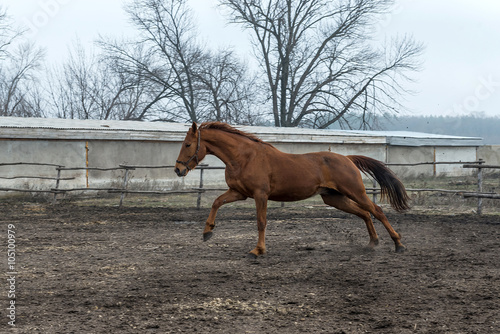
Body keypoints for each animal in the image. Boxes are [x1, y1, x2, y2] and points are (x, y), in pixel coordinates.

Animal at [174, 121, 408, 258]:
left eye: (187, 144)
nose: (177, 169)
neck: (245, 157)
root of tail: (347, 158)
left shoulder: (260, 195)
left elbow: (261, 222)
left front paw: (257, 250)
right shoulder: (239, 193)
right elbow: (216, 202)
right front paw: (207, 232)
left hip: (355, 192)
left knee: (376, 211)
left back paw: (398, 244)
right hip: (334, 198)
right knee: (365, 214)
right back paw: (372, 243)